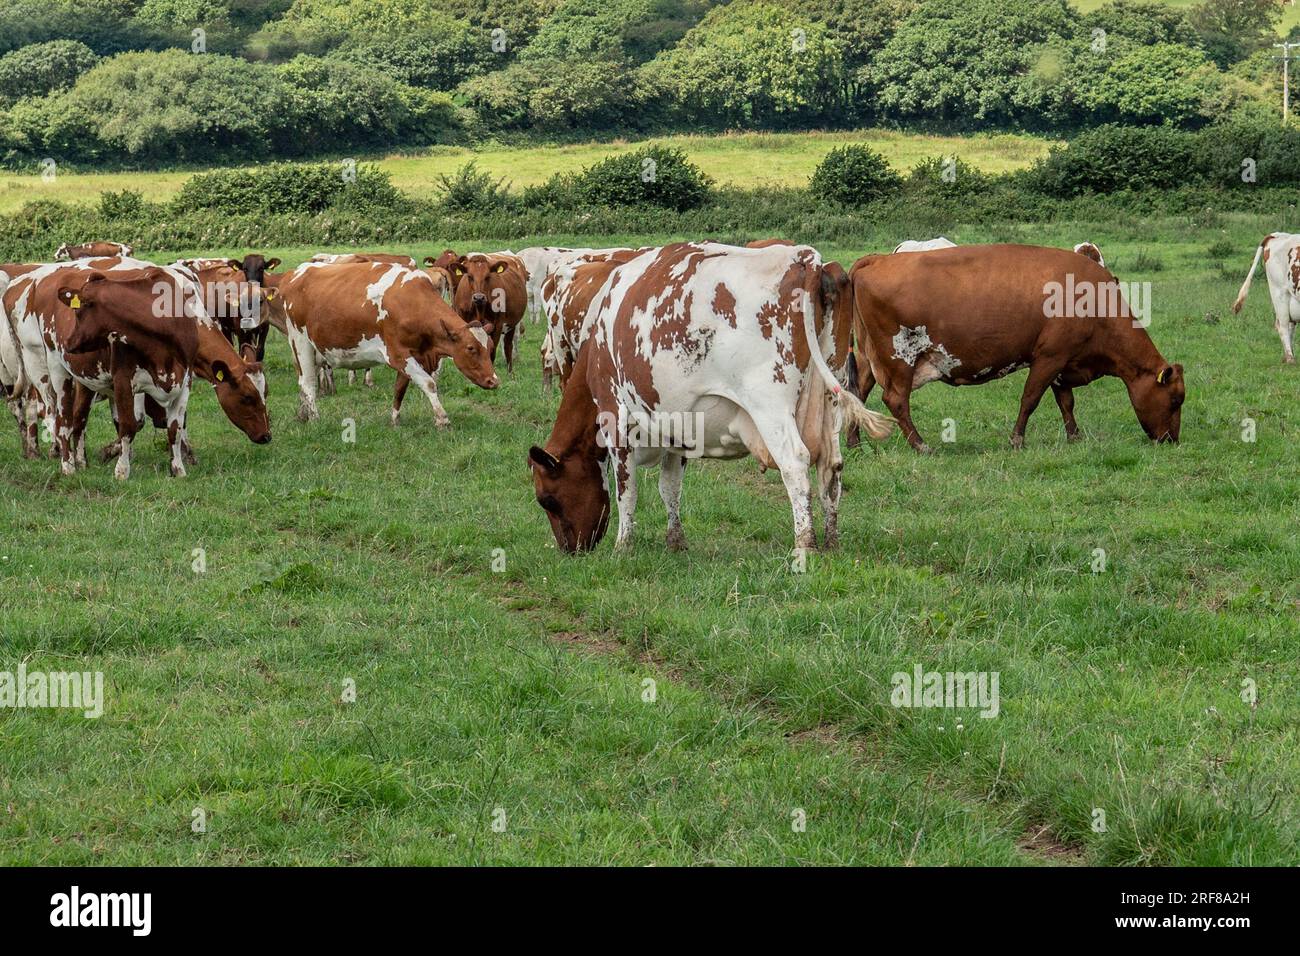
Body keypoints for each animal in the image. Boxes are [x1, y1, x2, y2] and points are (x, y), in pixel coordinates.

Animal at [276, 261, 499, 426]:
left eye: (490, 348)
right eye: (471, 348)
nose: (494, 381)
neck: (410, 302)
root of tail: (295, 273)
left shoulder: (413, 354)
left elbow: (400, 388)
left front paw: (395, 419)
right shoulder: (397, 354)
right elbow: (429, 383)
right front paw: (442, 419)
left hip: (313, 350)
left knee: (302, 381)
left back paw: (303, 414)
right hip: (301, 343)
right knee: (308, 383)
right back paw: (315, 418)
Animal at [527, 240, 894, 554]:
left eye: (547, 499)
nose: (571, 550)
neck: (597, 344)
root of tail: (805, 259)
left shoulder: (614, 416)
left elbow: (626, 491)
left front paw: (623, 546)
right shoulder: (677, 425)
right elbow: (670, 487)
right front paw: (676, 542)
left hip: (769, 405)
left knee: (795, 463)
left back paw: (805, 545)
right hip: (830, 394)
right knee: (831, 466)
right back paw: (831, 542)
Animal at [847, 243, 1185, 452]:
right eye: (1174, 400)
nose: (1172, 440)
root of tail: (877, 259)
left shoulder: (1064, 361)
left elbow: (1066, 402)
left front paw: (1074, 437)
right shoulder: (1049, 357)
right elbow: (1030, 399)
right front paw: (1017, 440)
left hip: (865, 358)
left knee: (856, 394)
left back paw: (854, 443)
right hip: (898, 357)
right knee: (895, 400)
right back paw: (920, 445)